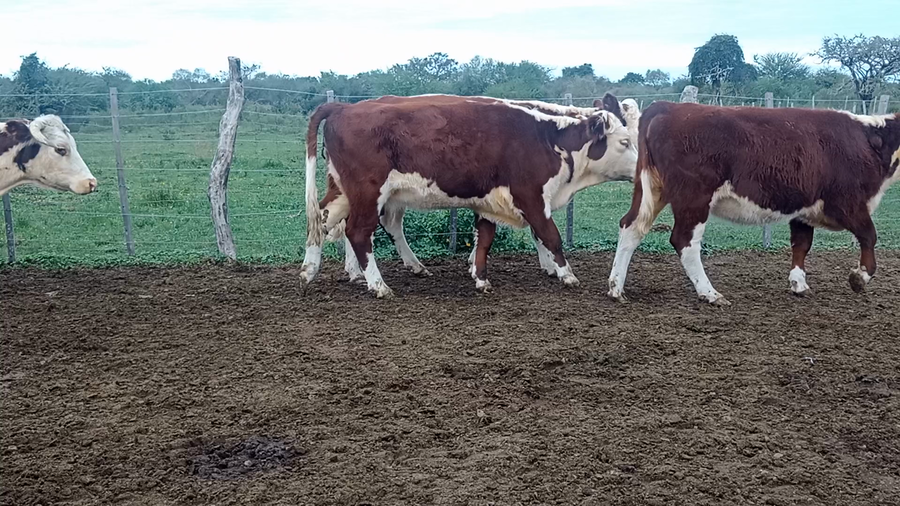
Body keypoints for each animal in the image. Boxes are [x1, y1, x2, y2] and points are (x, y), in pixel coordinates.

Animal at [300, 93, 640, 298]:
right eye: (625, 142)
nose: (642, 170)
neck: (545, 138)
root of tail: (346, 107)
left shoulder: (490, 200)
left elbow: (487, 238)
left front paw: (479, 276)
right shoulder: (530, 196)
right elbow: (549, 235)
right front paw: (565, 273)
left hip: (347, 191)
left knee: (322, 220)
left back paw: (309, 271)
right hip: (368, 192)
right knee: (358, 231)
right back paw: (377, 284)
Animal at [606, 101, 900, 305]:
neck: (871, 143)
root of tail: (668, 107)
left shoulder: (803, 208)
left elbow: (801, 244)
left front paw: (799, 284)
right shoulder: (849, 204)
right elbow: (869, 236)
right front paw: (859, 278)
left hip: (651, 189)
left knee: (631, 227)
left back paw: (616, 288)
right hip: (693, 197)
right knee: (684, 241)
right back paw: (710, 293)